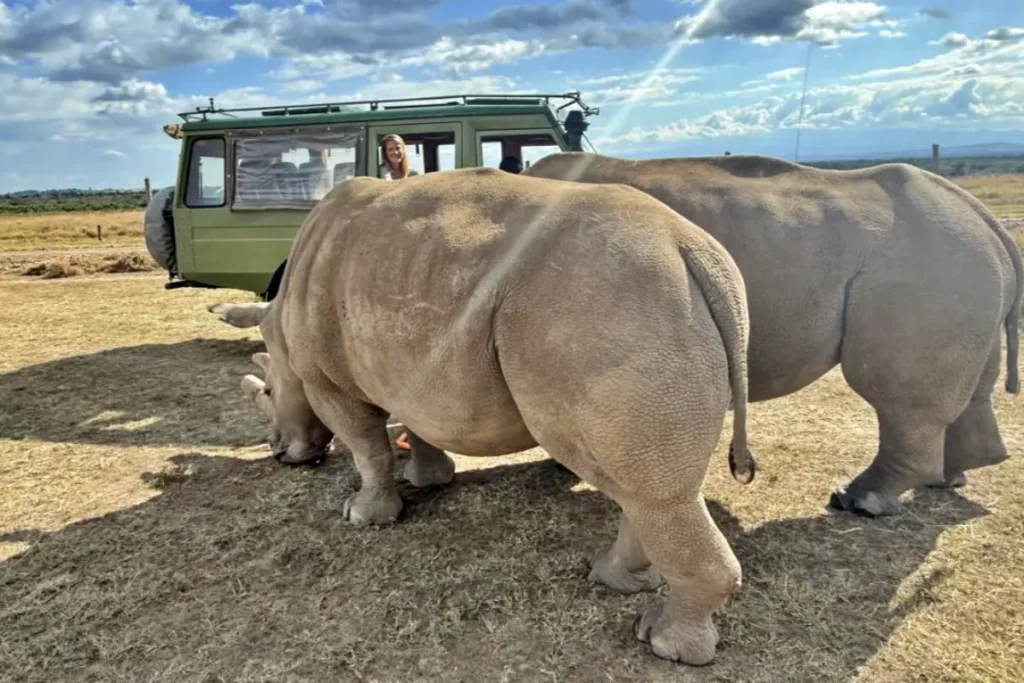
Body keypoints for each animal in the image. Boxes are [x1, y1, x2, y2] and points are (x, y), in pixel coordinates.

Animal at [228, 166, 758, 665]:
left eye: (269, 391)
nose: (280, 453)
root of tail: (691, 249)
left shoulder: (327, 381)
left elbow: (366, 447)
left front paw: (363, 516)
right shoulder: (411, 364)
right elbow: (416, 424)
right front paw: (427, 479)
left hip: (608, 309)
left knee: (653, 493)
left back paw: (666, 645)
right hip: (631, 306)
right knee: (637, 483)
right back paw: (612, 577)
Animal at [520, 152, 1022, 517]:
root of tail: (981, 214)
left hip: (926, 263)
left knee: (897, 398)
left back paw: (857, 502)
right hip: (958, 261)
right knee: (971, 382)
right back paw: (950, 477)